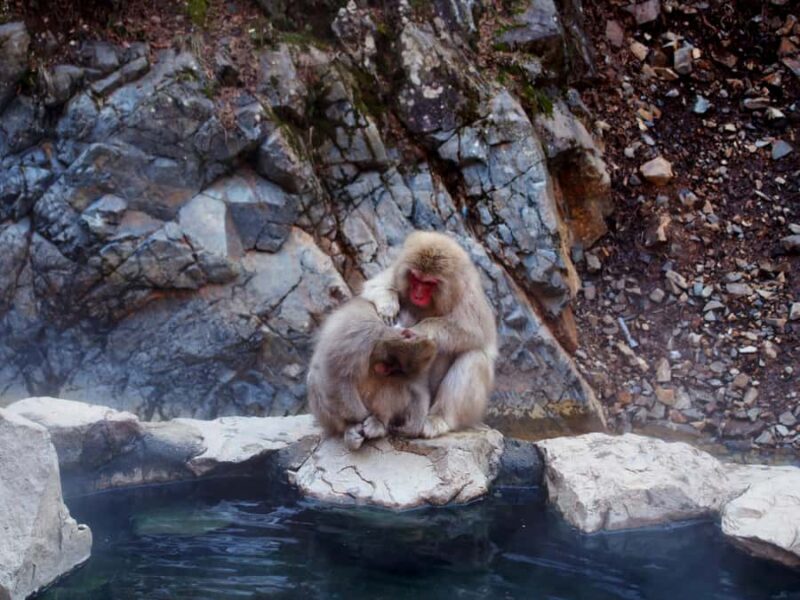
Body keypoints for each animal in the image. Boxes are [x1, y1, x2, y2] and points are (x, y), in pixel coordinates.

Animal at [307, 297, 437, 451]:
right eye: (393, 361)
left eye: (396, 366)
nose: (385, 369)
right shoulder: (361, 335)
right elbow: (336, 376)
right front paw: (358, 419)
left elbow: (416, 384)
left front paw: (413, 426)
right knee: (314, 379)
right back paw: (349, 428)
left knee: (396, 384)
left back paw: (379, 421)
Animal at [360, 231, 498, 439]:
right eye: (416, 279)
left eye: (429, 283)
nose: (417, 295)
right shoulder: (398, 273)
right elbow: (374, 287)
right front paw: (388, 305)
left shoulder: (468, 295)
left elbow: (471, 331)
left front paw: (418, 332)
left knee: (474, 357)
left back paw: (438, 419)